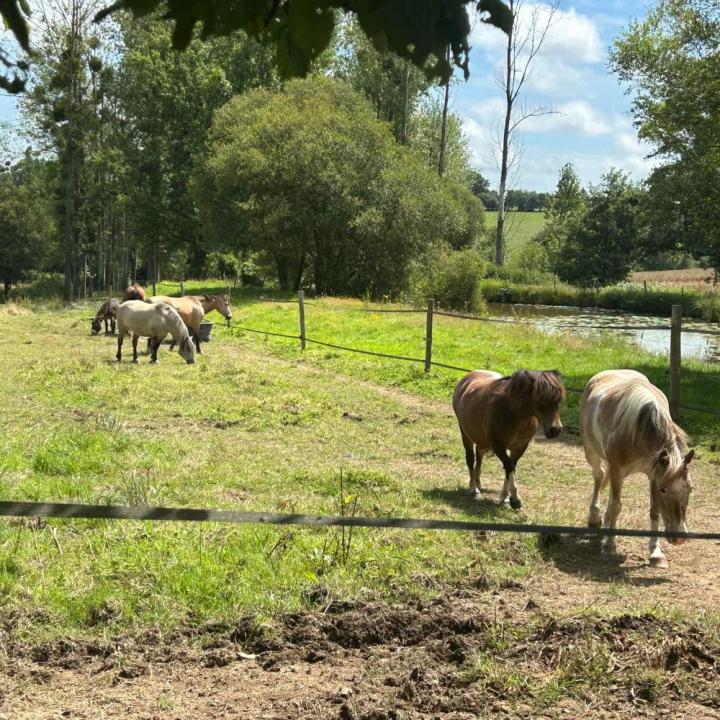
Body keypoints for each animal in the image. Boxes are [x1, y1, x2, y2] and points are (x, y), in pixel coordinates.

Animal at [453, 370, 565, 509]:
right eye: (540, 399)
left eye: (559, 400)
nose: (555, 429)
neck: (515, 414)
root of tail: (467, 378)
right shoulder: (498, 446)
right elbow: (509, 467)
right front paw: (515, 500)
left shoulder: (520, 447)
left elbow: (510, 467)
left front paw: (505, 498)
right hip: (466, 435)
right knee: (470, 458)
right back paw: (474, 489)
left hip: (483, 441)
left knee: (479, 457)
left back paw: (478, 484)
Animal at [580, 369, 694, 567]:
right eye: (664, 490)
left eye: (690, 489)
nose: (680, 537)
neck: (639, 431)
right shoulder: (618, 471)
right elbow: (616, 506)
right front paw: (609, 545)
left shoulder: (654, 474)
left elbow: (654, 511)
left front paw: (656, 553)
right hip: (591, 453)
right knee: (599, 476)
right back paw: (594, 520)